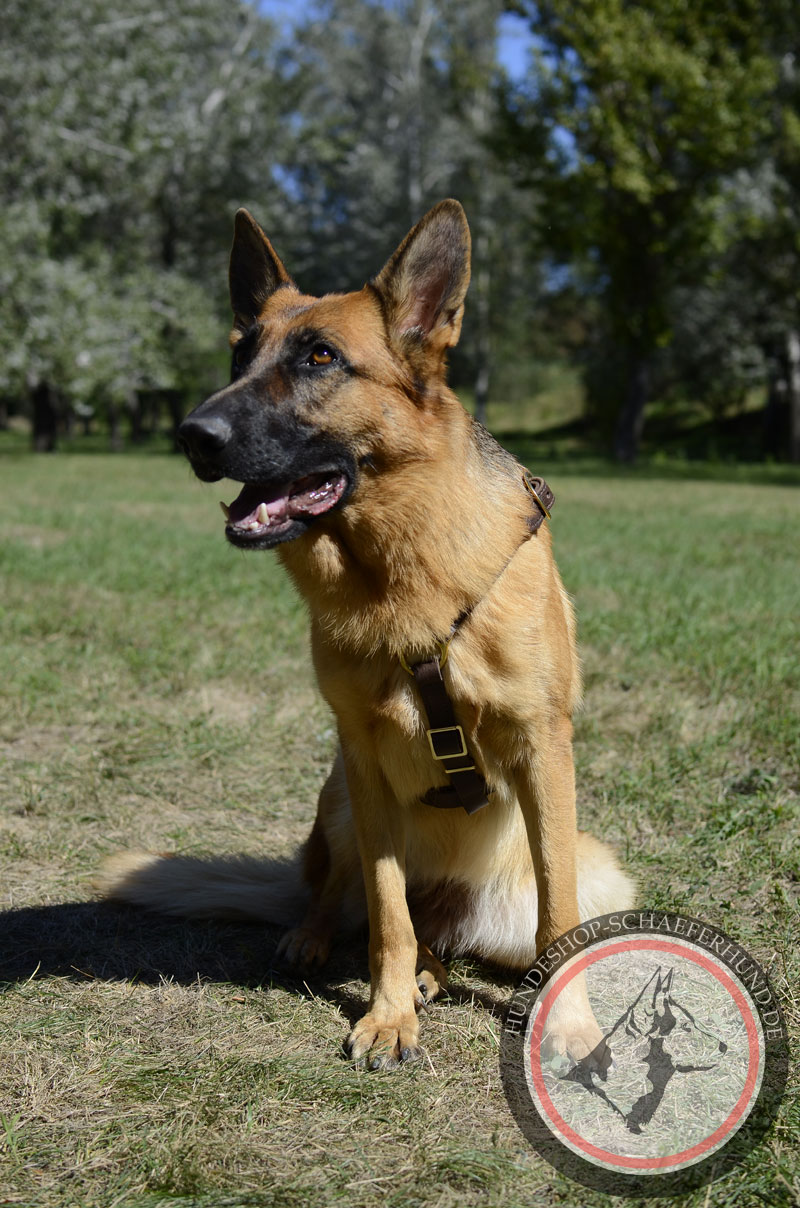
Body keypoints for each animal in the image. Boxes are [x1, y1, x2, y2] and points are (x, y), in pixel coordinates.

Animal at [100, 202, 638, 1072]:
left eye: (320, 357)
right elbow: (387, 913)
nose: (191, 434)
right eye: (241, 352)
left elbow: (558, 917)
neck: (405, 575)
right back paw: (330, 944)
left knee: (468, 936)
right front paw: (387, 1017)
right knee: (356, 906)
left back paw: (434, 970)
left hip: (591, 867)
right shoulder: (364, 760)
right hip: (340, 803)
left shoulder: (542, 749)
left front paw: (570, 1026)